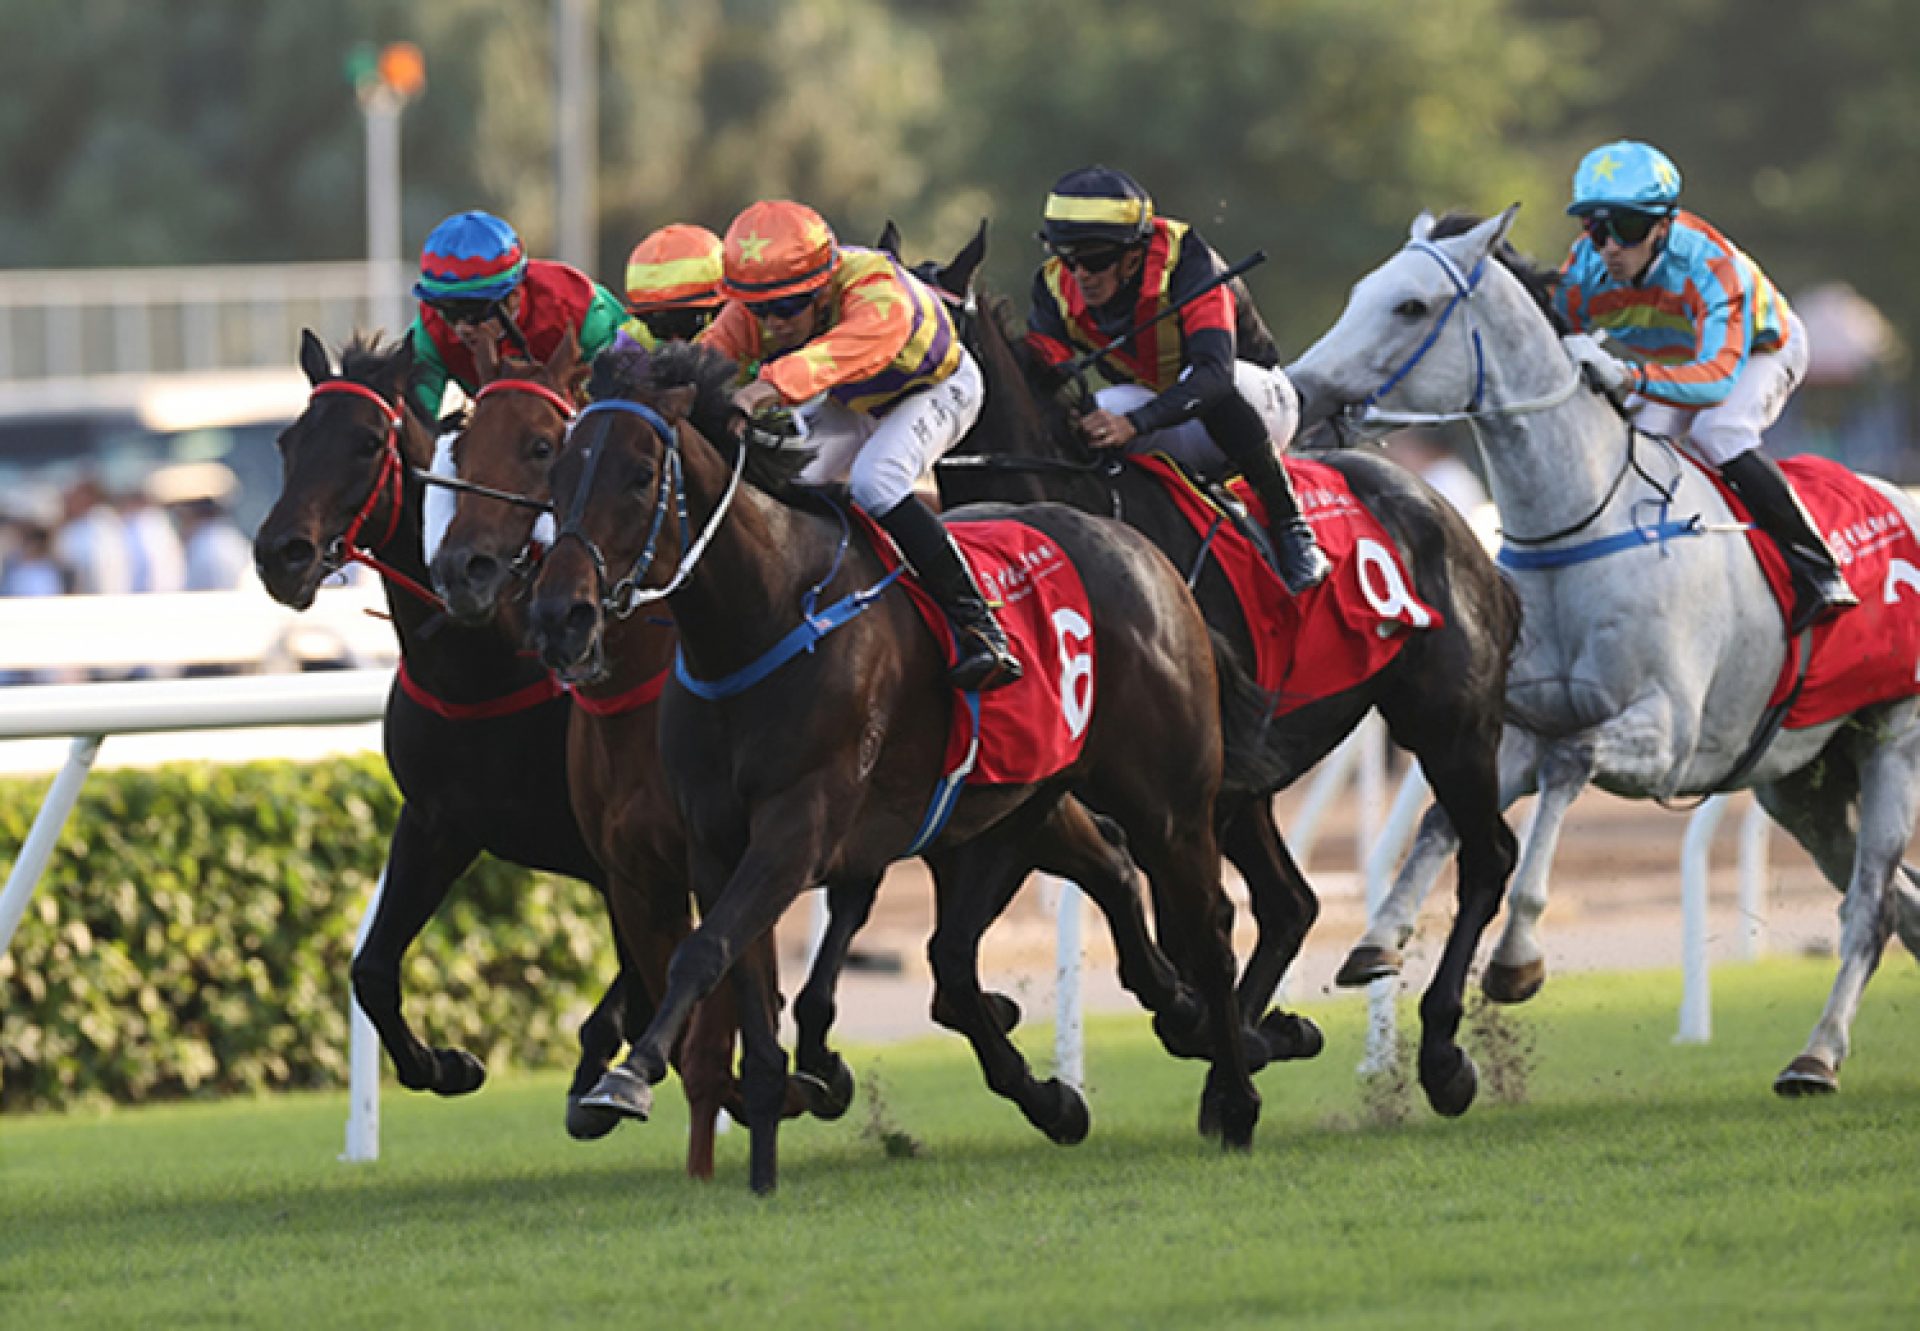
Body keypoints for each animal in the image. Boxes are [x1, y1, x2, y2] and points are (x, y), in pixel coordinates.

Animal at [245, 330, 637, 1129]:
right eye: (287, 440)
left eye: (368, 441)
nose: (280, 554)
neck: (486, 669)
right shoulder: (437, 823)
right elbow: (370, 968)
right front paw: (445, 1064)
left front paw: (598, 1079)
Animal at [428, 332, 848, 1175]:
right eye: (461, 444)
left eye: (540, 444)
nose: (464, 570)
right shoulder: (631, 872)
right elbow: (691, 1012)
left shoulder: (712, 854)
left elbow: (712, 1016)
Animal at [533, 341, 1267, 1190]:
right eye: (557, 468)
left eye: (639, 473)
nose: (561, 617)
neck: (760, 618)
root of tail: (1144, 552)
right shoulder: (716, 845)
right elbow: (740, 988)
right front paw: (761, 1162)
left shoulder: (797, 828)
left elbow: (701, 950)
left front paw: (628, 1075)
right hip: (1023, 799)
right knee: (1020, 922)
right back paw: (1085, 1080)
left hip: (1170, 801)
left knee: (1208, 931)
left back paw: (1236, 1091)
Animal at [921, 231, 1520, 1121]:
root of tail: (1450, 514)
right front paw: (1240, 1030)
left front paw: (1212, 1026)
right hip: (1253, 786)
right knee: (1292, 901)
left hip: (1448, 724)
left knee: (1486, 855)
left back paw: (1440, 1052)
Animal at [1282, 207, 1920, 1098]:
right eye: (1358, 292)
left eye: (1410, 306)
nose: (1299, 390)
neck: (1582, 522)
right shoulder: (1512, 725)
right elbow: (1446, 814)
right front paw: (1380, 935)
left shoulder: (1666, 735)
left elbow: (1568, 763)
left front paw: (1516, 957)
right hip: (1802, 782)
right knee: (1897, 901)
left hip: (1893, 738)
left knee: (1868, 903)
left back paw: (1816, 1056)